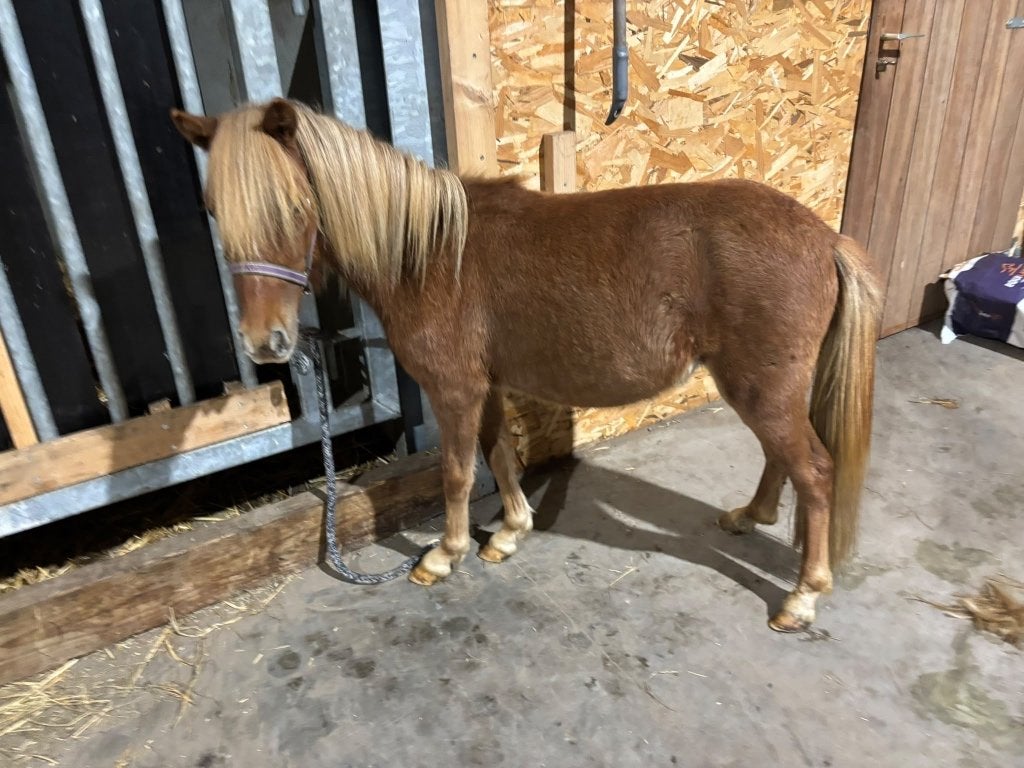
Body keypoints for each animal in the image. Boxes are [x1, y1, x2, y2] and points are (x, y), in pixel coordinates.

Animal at [171, 98, 881, 632]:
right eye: (213, 211)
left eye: (294, 208)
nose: (265, 344)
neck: (432, 254)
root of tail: (826, 238)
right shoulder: (483, 386)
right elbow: (499, 454)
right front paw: (509, 533)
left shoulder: (454, 389)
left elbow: (458, 473)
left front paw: (445, 555)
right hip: (765, 387)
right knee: (781, 459)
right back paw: (748, 518)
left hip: (762, 387)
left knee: (815, 472)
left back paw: (802, 596)